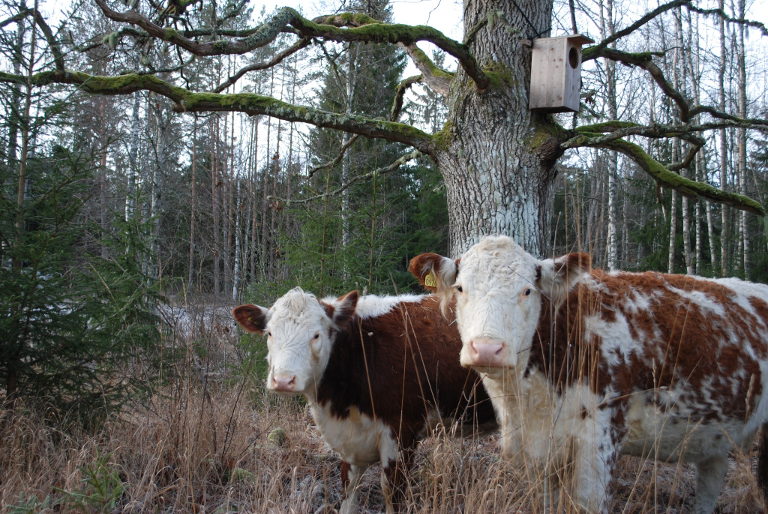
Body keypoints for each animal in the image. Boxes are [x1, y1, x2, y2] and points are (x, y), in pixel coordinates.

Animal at [232, 287, 496, 513]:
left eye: (316, 335)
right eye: (269, 333)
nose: (283, 380)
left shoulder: (402, 431)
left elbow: (392, 493)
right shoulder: (350, 443)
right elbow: (348, 494)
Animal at [409, 235, 768, 513]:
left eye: (527, 291)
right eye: (460, 288)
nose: (486, 348)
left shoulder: (599, 441)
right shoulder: (537, 453)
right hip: (715, 438)